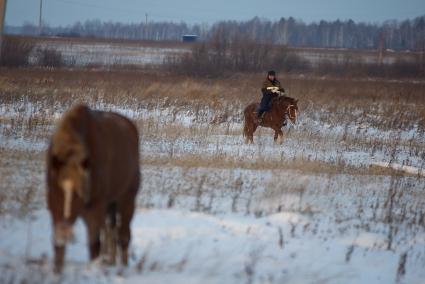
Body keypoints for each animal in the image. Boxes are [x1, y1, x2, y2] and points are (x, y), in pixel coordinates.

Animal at [46, 104, 140, 272]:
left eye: (79, 192)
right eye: (59, 187)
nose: (65, 232)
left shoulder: (95, 207)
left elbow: (94, 244)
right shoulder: (54, 204)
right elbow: (58, 246)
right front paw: (57, 271)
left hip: (127, 199)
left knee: (123, 236)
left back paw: (122, 266)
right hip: (110, 205)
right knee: (111, 231)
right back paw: (110, 261)